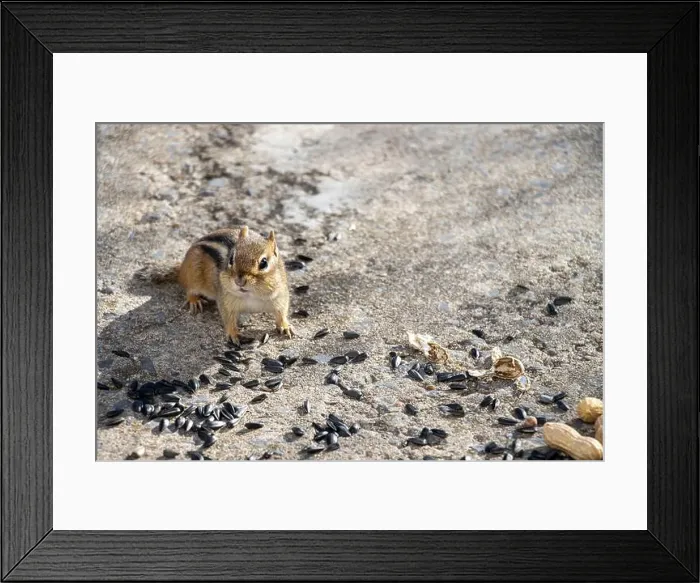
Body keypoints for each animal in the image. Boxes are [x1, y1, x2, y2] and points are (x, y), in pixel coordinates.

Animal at [146, 226, 294, 343]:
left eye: (264, 263)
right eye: (231, 259)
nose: (239, 281)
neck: (252, 296)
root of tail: (181, 269)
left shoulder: (280, 296)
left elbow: (281, 313)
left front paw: (285, 326)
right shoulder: (225, 300)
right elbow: (228, 318)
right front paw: (233, 333)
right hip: (193, 274)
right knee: (190, 290)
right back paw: (194, 300)